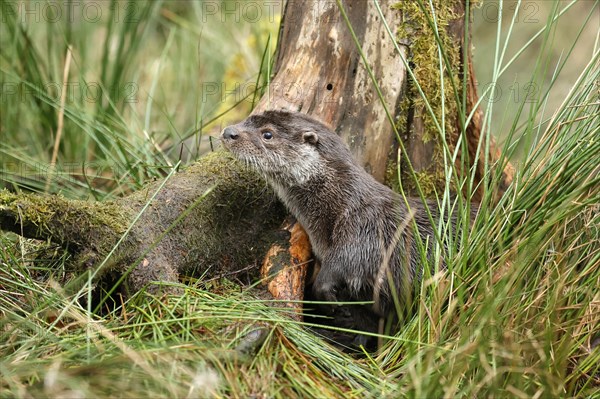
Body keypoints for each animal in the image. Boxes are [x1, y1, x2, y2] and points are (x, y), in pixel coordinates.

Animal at [220, 110, 468, 344]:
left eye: (268, 134)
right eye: (247, 119)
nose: (228, 132)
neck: (343, 203)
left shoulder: (367, 231)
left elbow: (345, 263)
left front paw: (329, 300)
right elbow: (367, 319)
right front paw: (355, 337)